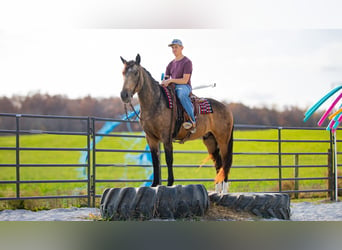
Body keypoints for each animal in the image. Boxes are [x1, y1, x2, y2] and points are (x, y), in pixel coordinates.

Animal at [119, 53, 234, 192]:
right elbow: (155, 161)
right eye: (123, 72)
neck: (156, 103)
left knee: (225, 161)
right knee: (218, 163)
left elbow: (169, 159)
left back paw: (224, 191)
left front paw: (169, 184)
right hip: (210, 140)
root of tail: (226, 108)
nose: (124, 95)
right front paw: (154, 184)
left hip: (223, 140)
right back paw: (217, 190)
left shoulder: (166, 137)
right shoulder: (151, 138)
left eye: (135, 72)